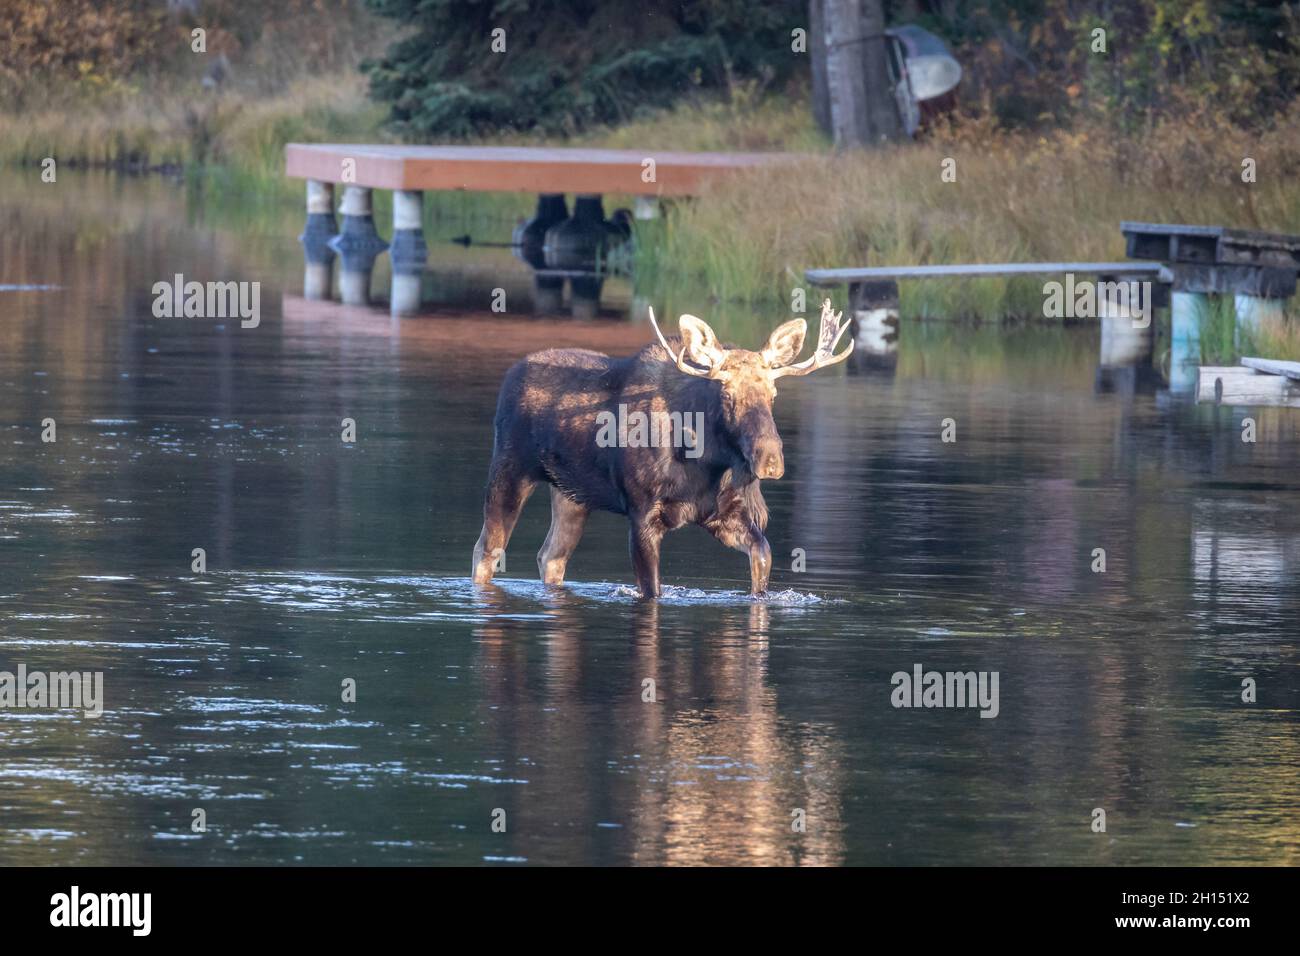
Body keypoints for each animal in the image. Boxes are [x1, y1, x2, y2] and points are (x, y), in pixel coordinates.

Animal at [470, 299, 852, 598]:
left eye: (773, 394)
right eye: (727, 394)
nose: (770, 460)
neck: (706, 462)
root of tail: (510, 376)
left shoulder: (723, 515)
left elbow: (763, 557)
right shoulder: (641, 513)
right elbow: (653, 590)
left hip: (572, 495)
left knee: (551, 556)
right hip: (510, 471)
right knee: (486, 551)